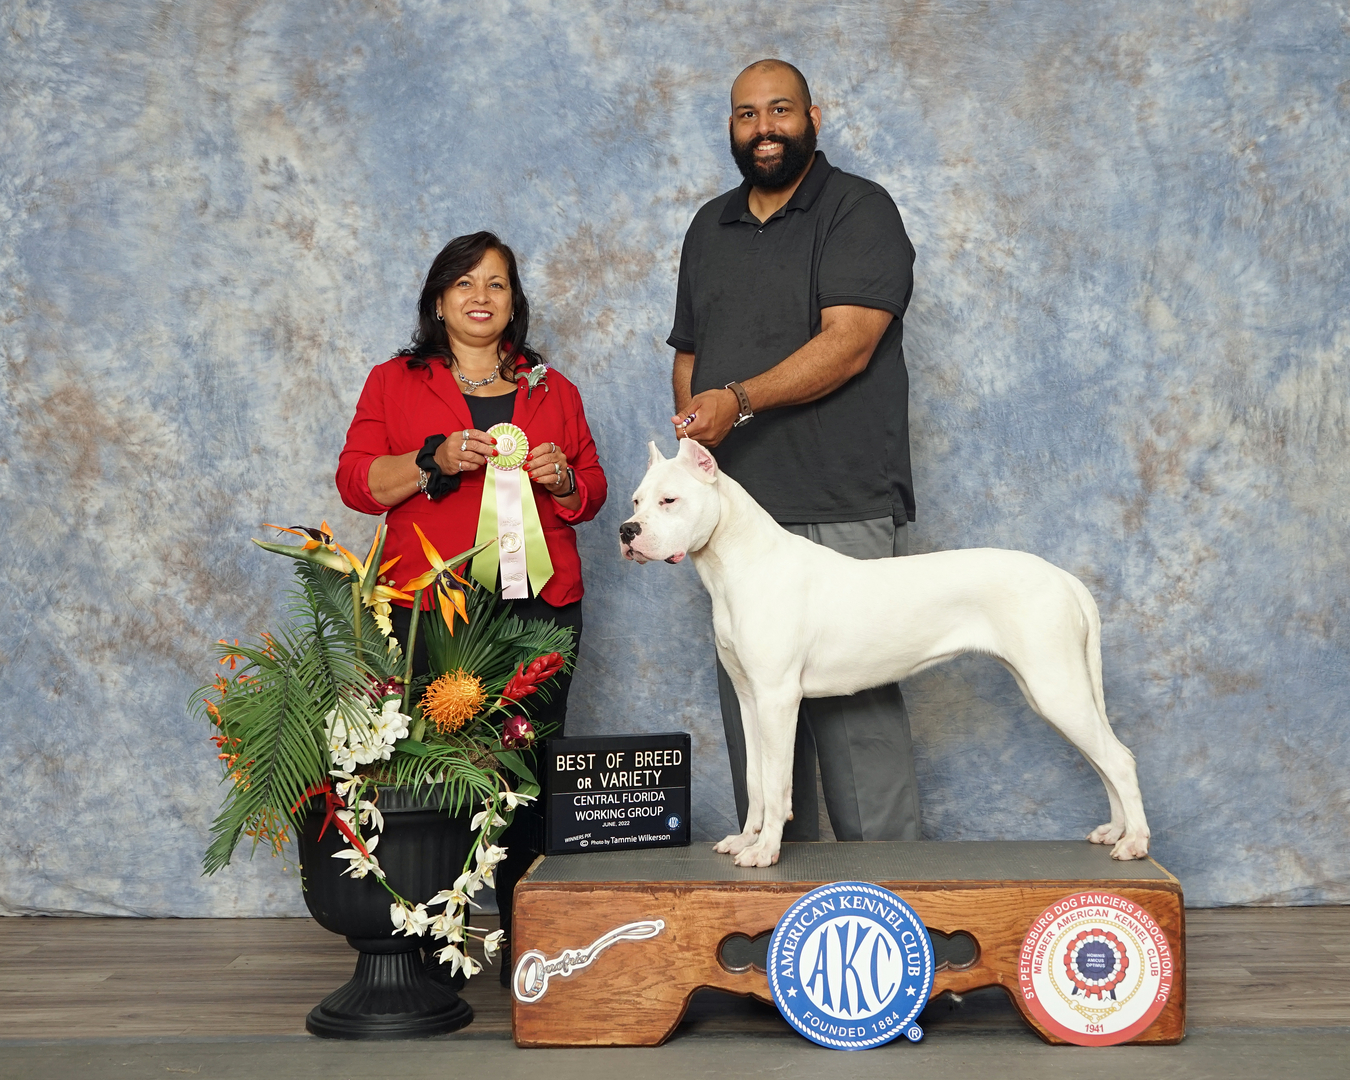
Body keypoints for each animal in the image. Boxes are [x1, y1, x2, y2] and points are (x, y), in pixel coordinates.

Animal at [621, 437, 1150, 869]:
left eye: (670, 500)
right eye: (636, 500)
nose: (628, 531)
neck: (740, 562)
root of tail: (1065, 578)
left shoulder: (777, 699)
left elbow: (776, 782)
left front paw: (765, 851)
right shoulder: (750, 701)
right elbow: (755, 779)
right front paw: (746, 839)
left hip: (1056, 687)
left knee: (1120, 759)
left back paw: (1135, 842)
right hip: (1055, 691)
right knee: (1104, 759)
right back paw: (1115, 831)